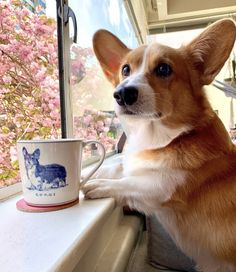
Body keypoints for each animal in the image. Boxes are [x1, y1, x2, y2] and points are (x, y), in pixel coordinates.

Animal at [82, 19, 236, 272]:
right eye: (125, 69)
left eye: (164, 69)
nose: (121, 93)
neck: (160, 138)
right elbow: (118, 167)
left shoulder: (162, 188)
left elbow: (129, 183)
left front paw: (100, 185)